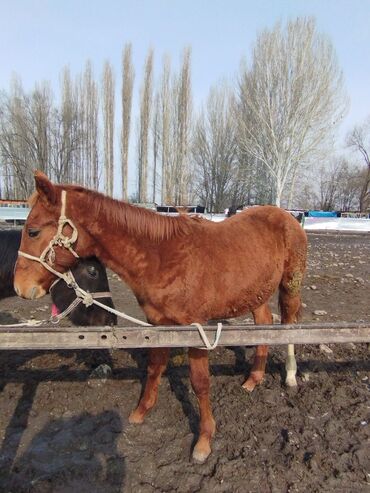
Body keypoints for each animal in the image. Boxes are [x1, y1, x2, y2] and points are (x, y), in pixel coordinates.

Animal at [14, 171, 308, 464]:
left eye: (33, 231)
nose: (20, 287)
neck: (162, 256)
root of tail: (285, 216)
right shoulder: (158, 325)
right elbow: (155, 367)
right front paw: (141, 411)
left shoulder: (197, 330)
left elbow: (200, 383)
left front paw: (204, 440)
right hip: (255, 293)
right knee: (264, 325)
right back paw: (253, 379)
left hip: (290, 286)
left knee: (289, 326)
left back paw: (291, 376)